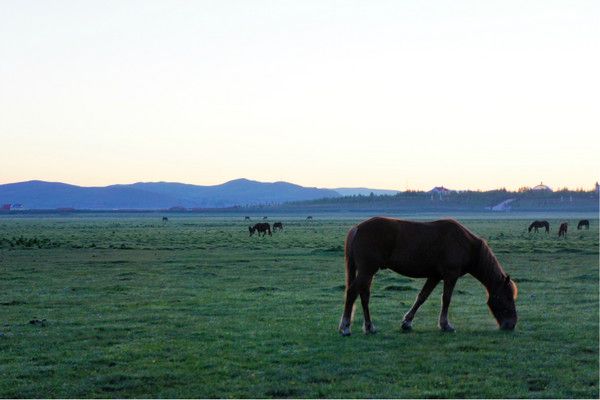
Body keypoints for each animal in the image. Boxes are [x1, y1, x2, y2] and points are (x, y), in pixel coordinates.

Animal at [340, 217, 516, 336]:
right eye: (507, 298)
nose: (511, 324)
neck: (466, 244)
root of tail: (357, 228)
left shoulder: (435, 276)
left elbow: (422, 297)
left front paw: (407, 322)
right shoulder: (450, 275)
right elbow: (446, 299)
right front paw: (445, 325)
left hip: (367, 272)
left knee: (363, 295)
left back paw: (369, 327)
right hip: (367, 270)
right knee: (352, 292)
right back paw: (345, 327)